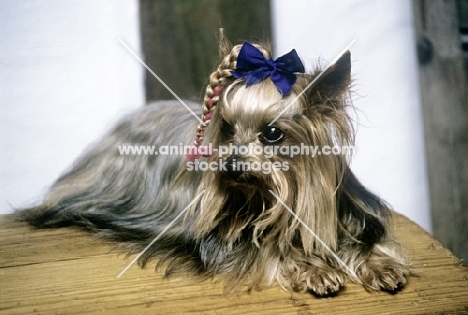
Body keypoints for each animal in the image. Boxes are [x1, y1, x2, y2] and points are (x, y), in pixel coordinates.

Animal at [15, 34, 410, 296]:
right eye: (227, 128)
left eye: (272, 133)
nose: (230, 168)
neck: (279, 195)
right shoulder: (230, 242)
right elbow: (267, 251)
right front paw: (313, 269)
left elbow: (364, 241)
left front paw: (380, 264)